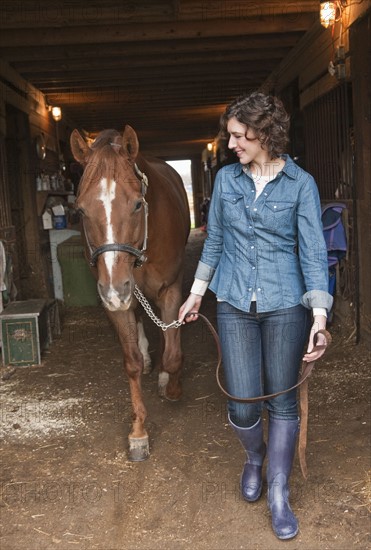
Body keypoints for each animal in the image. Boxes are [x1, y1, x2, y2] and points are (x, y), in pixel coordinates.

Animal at [70, 125, 192, 462]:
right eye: (81, 210)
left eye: (138, 204)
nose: (114, 288)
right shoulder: (116, 301)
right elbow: (132, 361)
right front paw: (138, 432)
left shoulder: (171, 288)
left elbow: (173, 352)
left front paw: (173, 386)